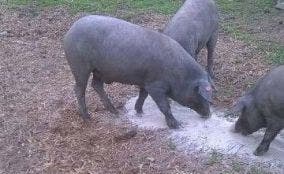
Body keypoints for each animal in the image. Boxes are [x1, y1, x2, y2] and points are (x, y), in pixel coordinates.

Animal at [62, 14, 213, 128]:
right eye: (199, 94)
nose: (209, 114)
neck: (178, 74)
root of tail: (70, 31)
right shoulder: (155, 85)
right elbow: (164, 105)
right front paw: (176, 125)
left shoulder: (146, 81)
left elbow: (143, 95)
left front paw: (139, 111)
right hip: (80, 66)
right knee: (79, 89)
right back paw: (88, 118)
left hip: (99, 70)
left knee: (96, 85)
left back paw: (115, 112)